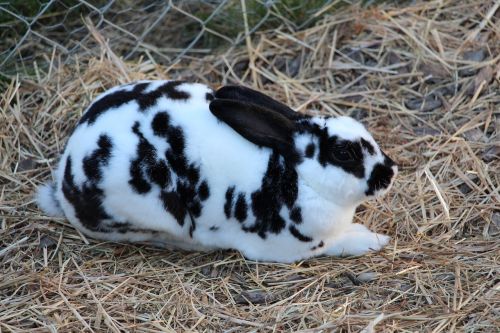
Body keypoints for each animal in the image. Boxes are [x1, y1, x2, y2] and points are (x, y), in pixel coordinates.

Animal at [36, 80, 398, 262]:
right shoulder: (292, 249)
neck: (298, 177)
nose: (390, 171)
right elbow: (341, 244)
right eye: (344, 153)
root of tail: (65, 182)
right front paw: (375, 240)